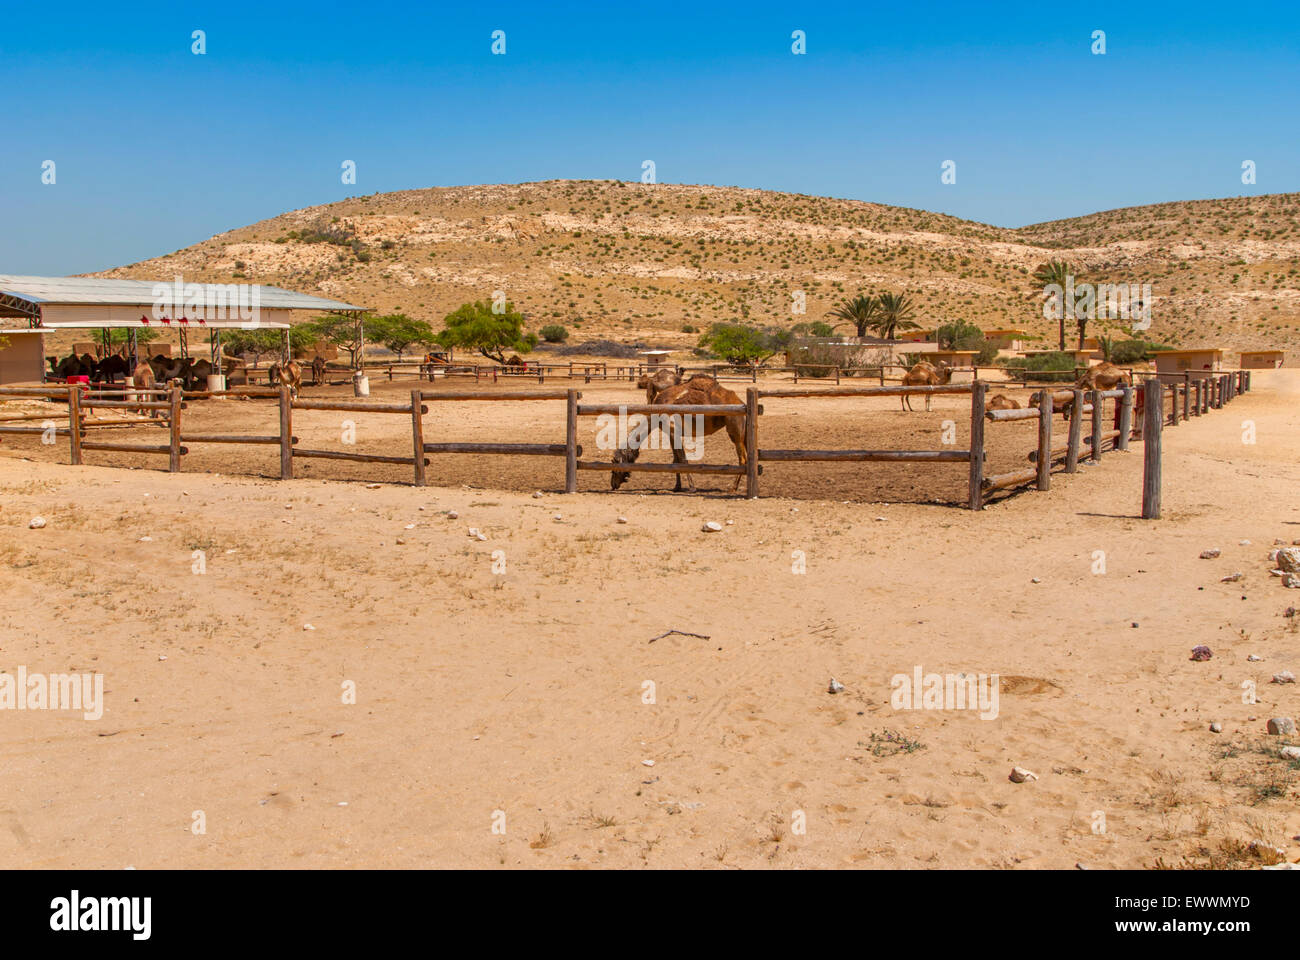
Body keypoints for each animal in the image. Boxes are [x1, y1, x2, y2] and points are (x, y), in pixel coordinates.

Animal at [611, 375, 748, 493]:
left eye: (615, 463)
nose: (613, 484)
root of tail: (741, 402)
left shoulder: (672, 429)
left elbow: (682, 458)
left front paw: (692, 487)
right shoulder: (670, 433)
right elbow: (676, 459)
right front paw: (677, 487)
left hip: (735, 429)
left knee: (742, 458)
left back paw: (733, 488)